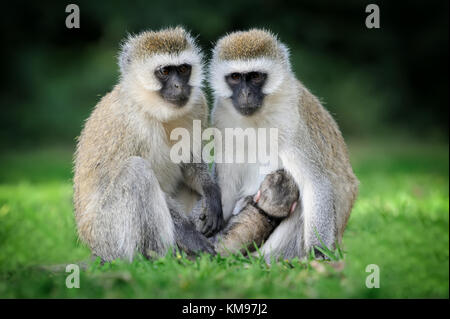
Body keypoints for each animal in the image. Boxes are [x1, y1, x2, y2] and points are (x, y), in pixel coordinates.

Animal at [72, 27, 225, 262]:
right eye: (165, 72)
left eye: (183, 69)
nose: (179, 86)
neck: (155, 111)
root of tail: (95, 250)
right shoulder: (131, 126)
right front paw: (189, 235)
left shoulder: (199, 104)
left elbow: (190, 163)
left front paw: (211, 191)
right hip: (108, 236)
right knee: (137, 172)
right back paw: (162, 258)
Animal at [209, 29, 360, 260]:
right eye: (235, 77)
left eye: (255, 76)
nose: (245, 94)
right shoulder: (220, 118)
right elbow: (226, 186)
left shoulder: (291, 121)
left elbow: (315, 183)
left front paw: (318, 254)